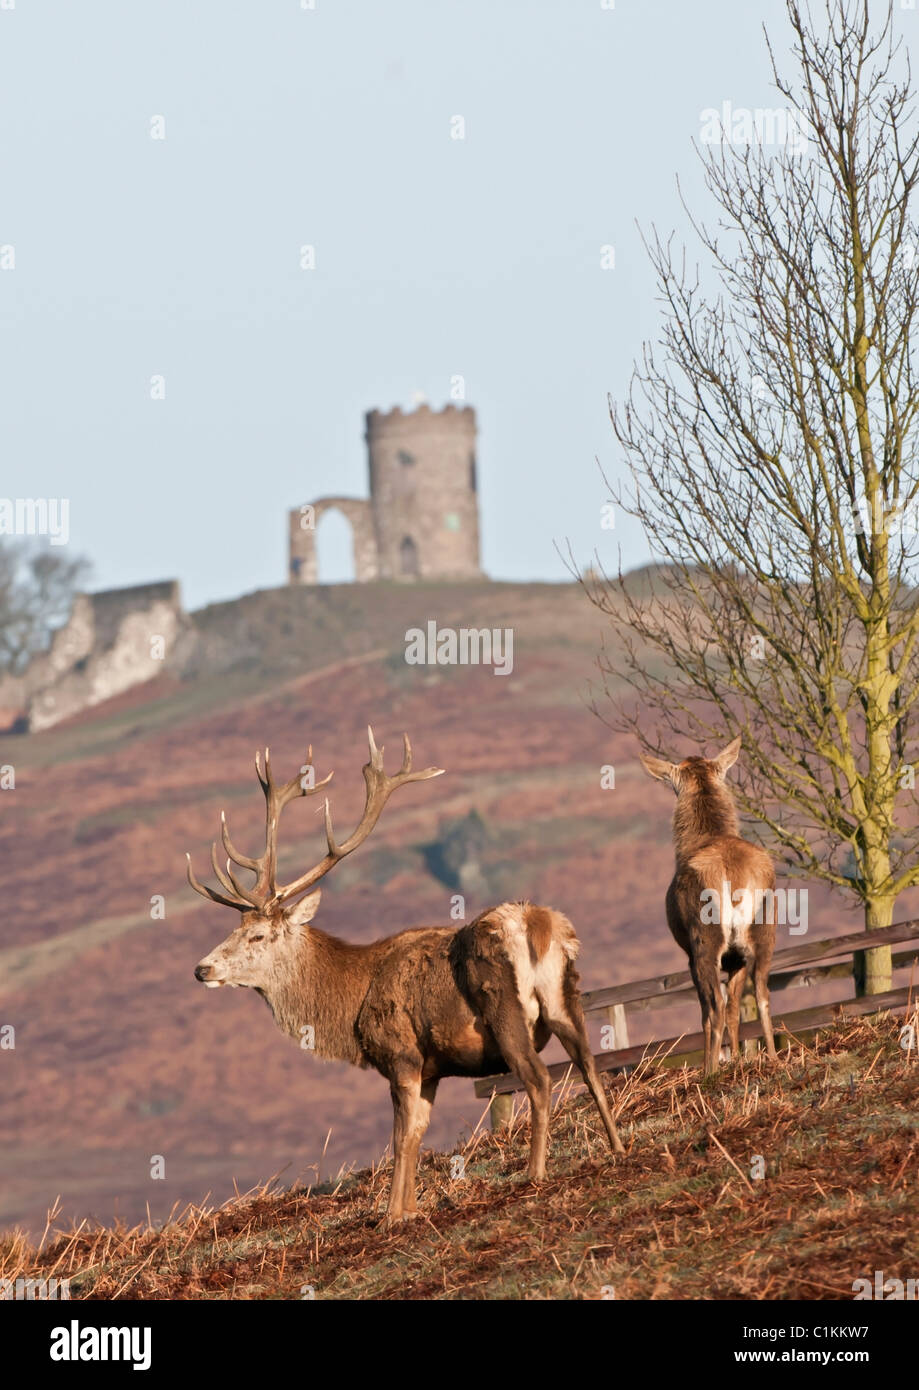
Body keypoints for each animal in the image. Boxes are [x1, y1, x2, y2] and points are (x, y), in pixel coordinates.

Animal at [188, 726, 624, 1224]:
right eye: (233, 929)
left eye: (257, 935)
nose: (202, 968)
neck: (352, 1001)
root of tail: (538, 924)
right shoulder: (431, 1067)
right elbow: (418, 1132)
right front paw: (412, 1207)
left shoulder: (401, 1053)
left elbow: (400, 1136)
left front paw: (393, 1213)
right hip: (566, 996)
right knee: (589, 1062)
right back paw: (617, 1147)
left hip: (505, 1010)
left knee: (539, 1078)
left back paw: (534, 1172)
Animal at [639, 735, 778, 1075]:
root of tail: (736, 879)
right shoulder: (736, 958)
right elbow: (735, 1009)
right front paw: (739, 1059)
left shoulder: (690, 953)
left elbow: (710, 1010)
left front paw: (719, 1062)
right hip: (765, 930)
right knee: (762, 993)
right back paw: (773, 1057)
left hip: (705, 938)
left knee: (713, 1007)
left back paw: (709, 1071)